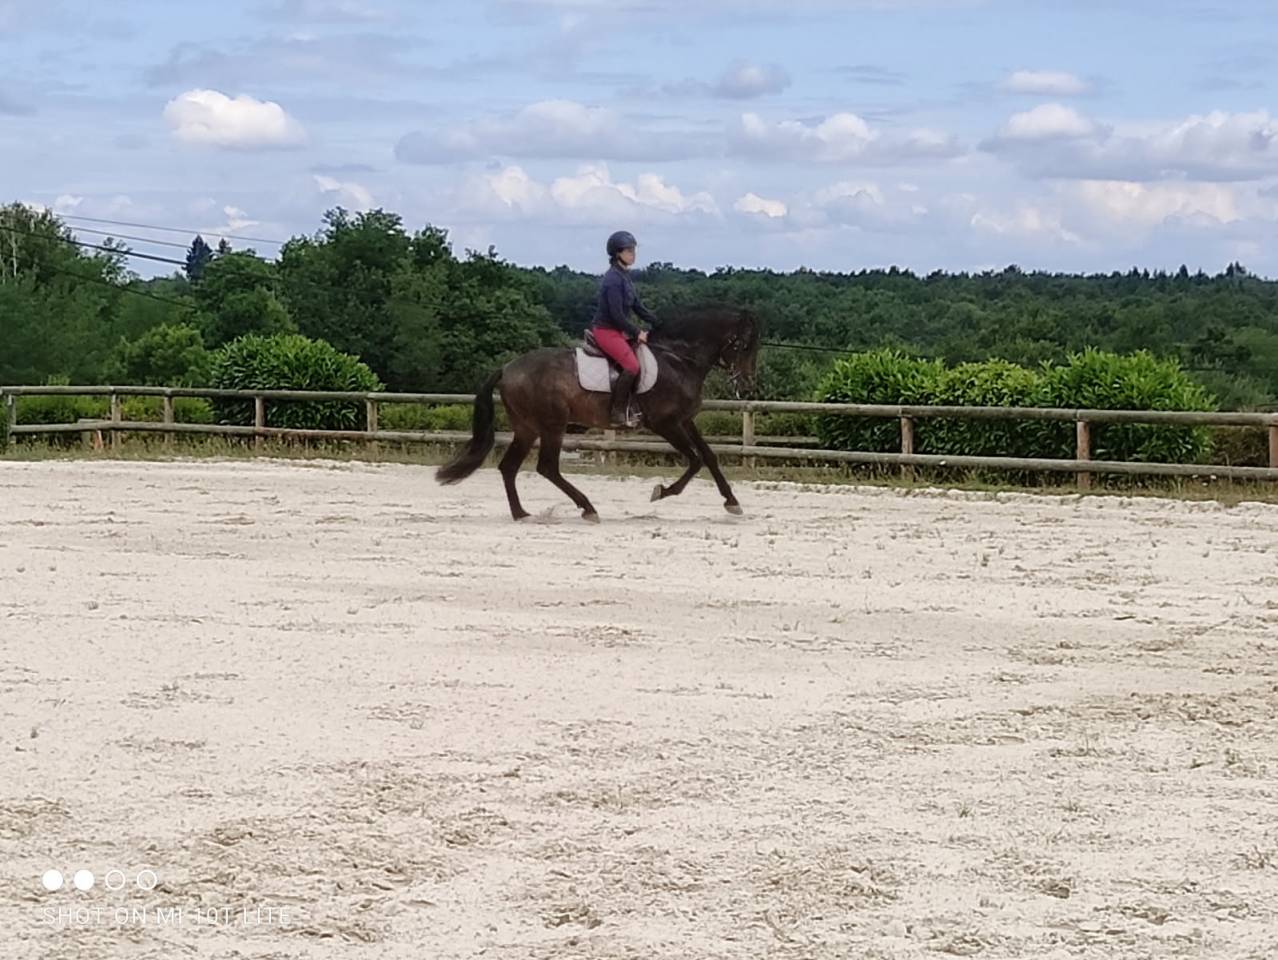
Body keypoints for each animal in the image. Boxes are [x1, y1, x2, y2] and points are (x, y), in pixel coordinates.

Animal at [435, 305, 761, 522]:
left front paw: (732, 502)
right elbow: (694, 460)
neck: (678, 359)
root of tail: (507, 368)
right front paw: (661, 491)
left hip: (527, 428)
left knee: (509, 467)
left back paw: (521, 513)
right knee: (547, 467)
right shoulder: (665, 424)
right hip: (552, 425)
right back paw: (587, 508)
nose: (746, 385)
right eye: (744, 345)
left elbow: (708, 456)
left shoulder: (684, 420)